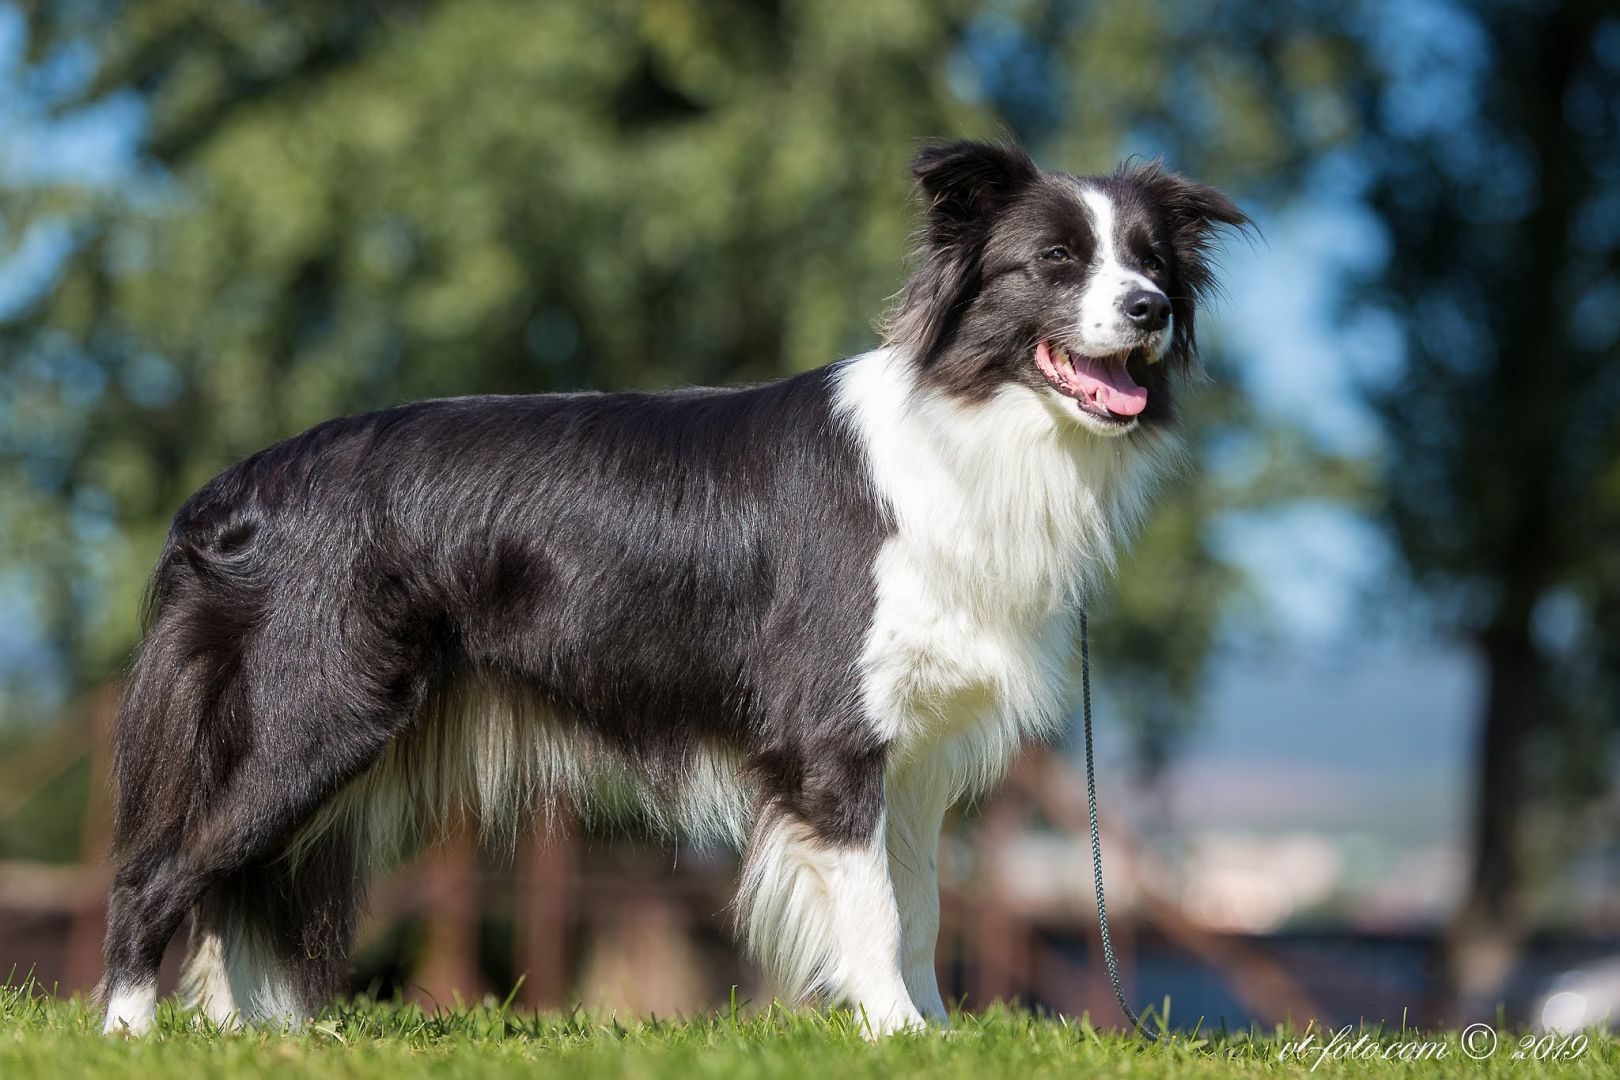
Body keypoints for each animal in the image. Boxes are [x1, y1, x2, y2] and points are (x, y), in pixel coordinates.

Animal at [97, 140, 1249, 1035]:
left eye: (1149, 261)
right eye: (1055, 262)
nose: (1147, 309)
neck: (972, 423)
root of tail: (238, 483)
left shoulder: (912, 752)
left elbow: (919, 904)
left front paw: (935, 1035)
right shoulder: (831, 737)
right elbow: (873, 908)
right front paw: (890, 1032)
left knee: (228, 886)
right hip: (312, 710)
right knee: (159, 869)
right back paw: (126, 1031)